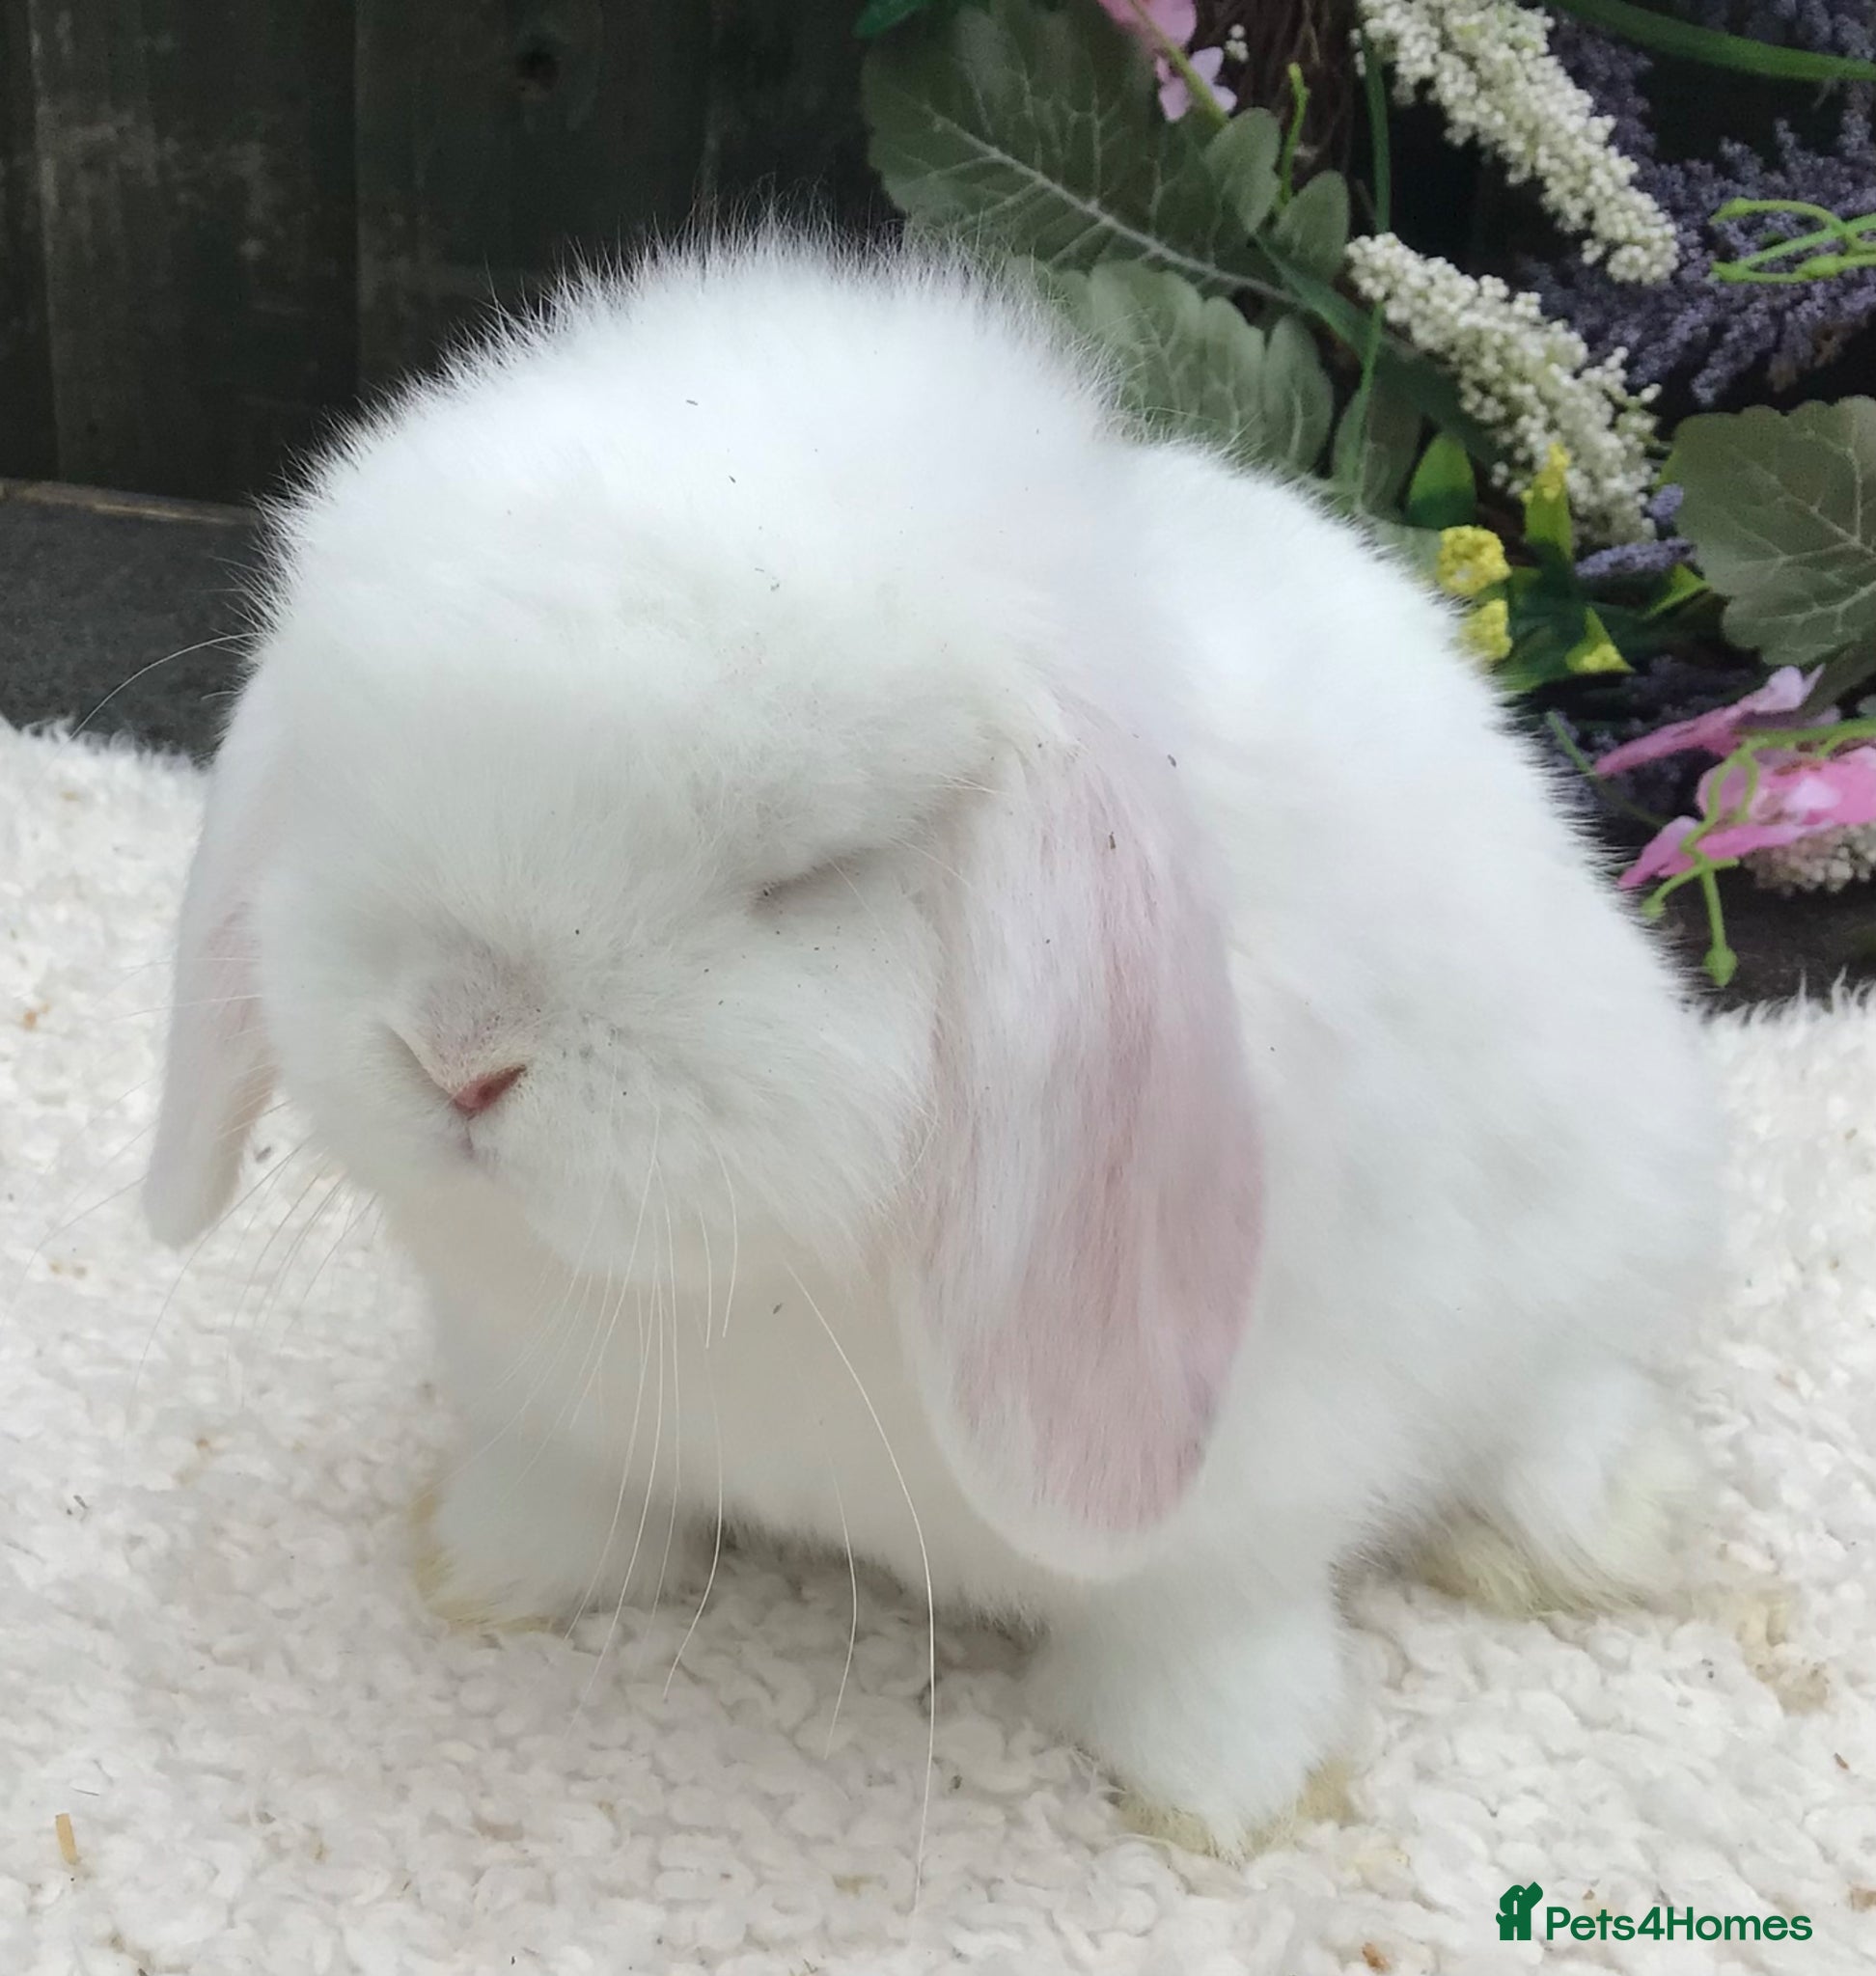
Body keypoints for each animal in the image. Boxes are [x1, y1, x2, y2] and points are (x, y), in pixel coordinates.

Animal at [144, 233, 1720, 1850]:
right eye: (354, 781)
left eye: (808, 875)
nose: (457, 1051)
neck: (749, 1289)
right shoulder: (543, 1398)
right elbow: (564, 1494)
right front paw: (489, 1574)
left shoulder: (1253, 1486)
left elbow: (1209, 1638)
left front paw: (1222, 1799)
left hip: (1608, 1231)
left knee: (1571, 1399)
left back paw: (1602, 1534)